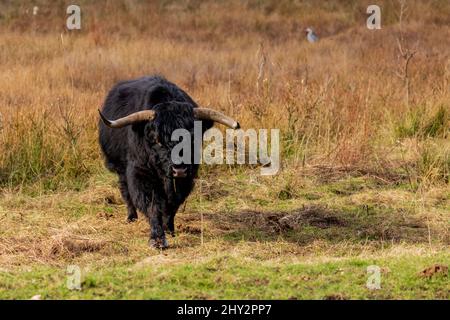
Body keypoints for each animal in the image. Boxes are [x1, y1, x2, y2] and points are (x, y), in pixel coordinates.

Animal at [98, 76, 239, 249]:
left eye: (192, 139)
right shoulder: (141, 173)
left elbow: (173, 204)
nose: (179, 170)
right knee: (125, 191)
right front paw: (157, 239)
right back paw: (131, 217)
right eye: (157, 140)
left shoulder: (187, 178)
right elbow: (151, 204)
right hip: (120, 168)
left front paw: (169, 228)